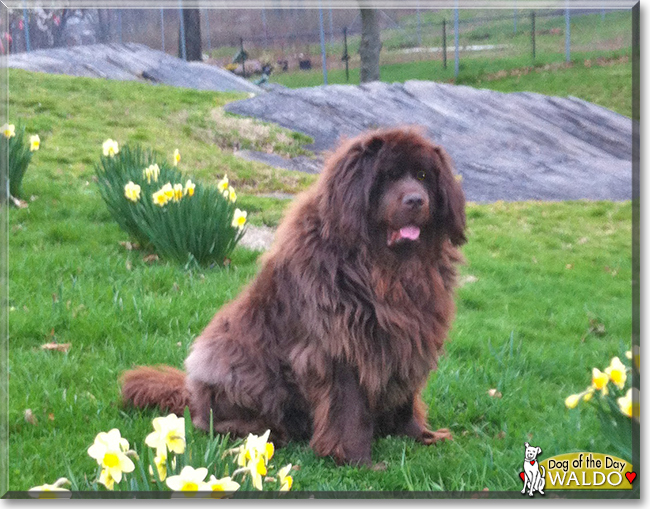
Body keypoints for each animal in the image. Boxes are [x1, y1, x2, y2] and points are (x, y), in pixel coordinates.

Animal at [120, 127, 466, 464]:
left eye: (423, 175)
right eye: (388, 176)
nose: (416, 200)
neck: (386, 269)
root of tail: (190, 389)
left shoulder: (411, 337)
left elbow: (406, 397)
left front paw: (420, 436)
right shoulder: (340, 347)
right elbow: (349, 408)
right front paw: (356, 459)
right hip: (233, 367)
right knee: (210, 422)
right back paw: (266, 433)